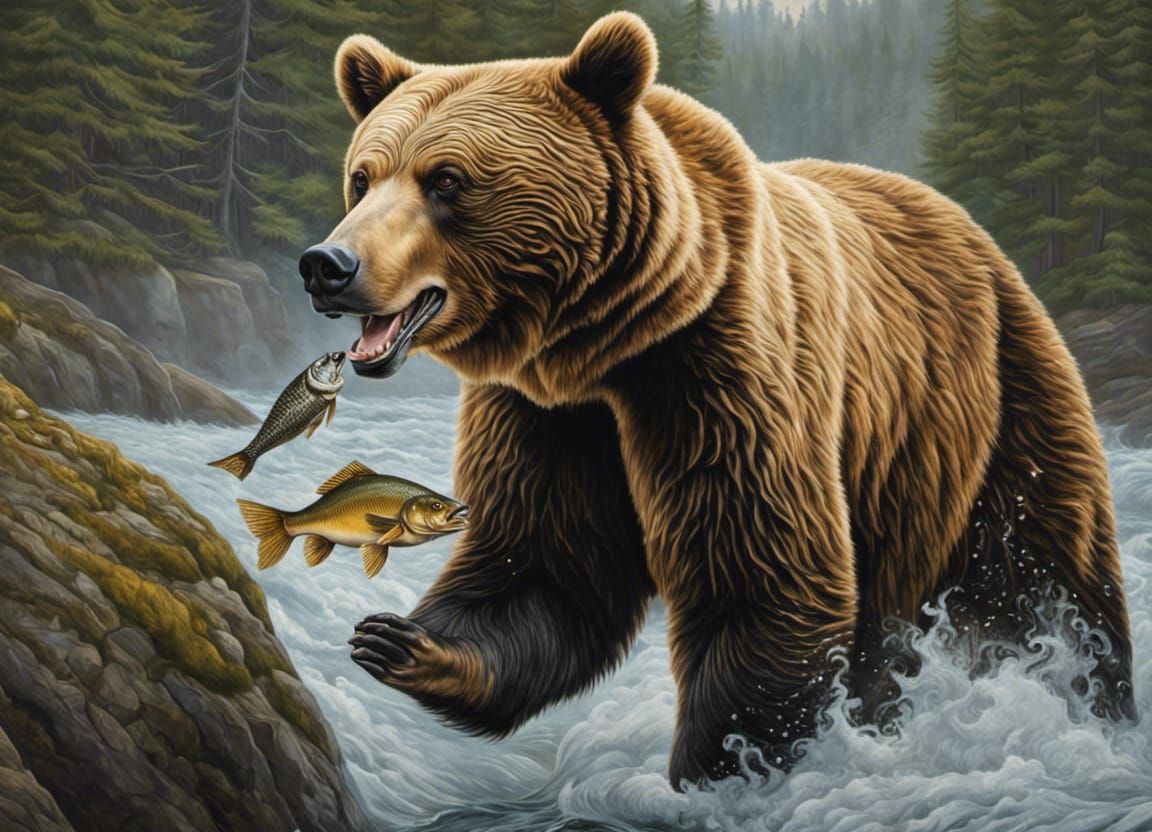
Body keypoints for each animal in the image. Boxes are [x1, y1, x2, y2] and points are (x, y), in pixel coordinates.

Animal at [297, 12, 1136, 788]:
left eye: (445, 179)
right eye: (363, 176)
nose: (328, 263)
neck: (609, 338)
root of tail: (978, 236)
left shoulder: (721, 370)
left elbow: (762, 572)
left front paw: (718, 771)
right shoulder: (547, 412)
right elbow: (545, 562)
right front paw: (400, 641)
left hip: (1001, 403)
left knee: (1046, 585)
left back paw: (1090, 703)